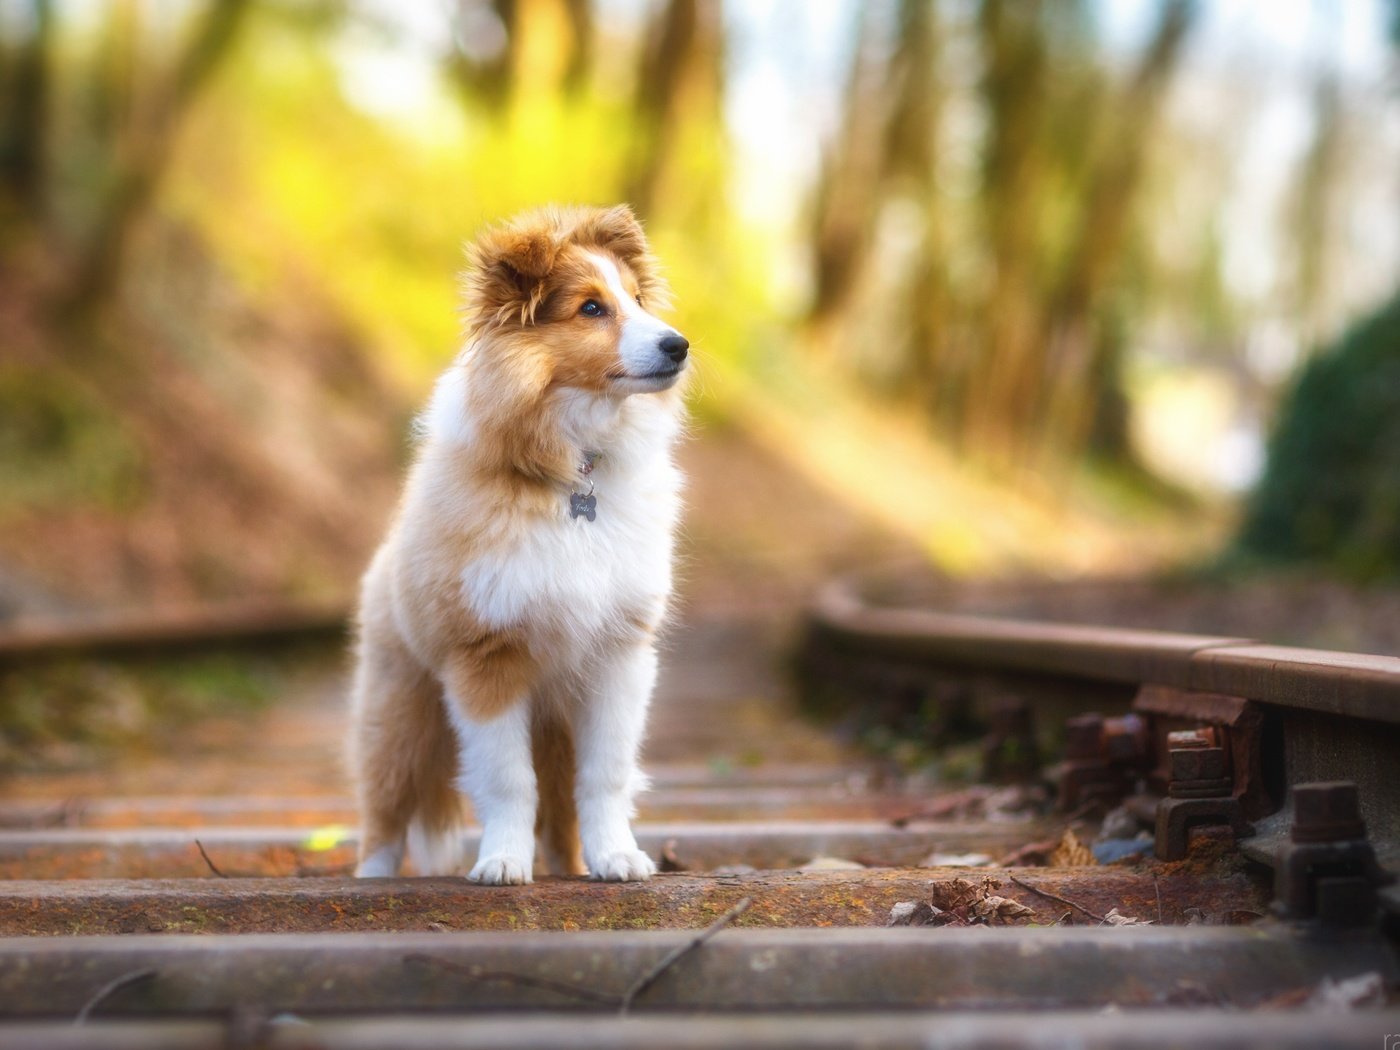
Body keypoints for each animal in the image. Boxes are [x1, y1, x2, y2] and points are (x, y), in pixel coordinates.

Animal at [350, 201, 688, 884]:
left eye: (638, 299)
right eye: (591, 308)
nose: (680, 345)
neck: (574, 477)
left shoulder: (618, 659)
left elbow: (606, 776)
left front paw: (619, 856)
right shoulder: (487, 658)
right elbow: (507, 781)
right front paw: (502, 861)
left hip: (553, 731)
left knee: (561, 818)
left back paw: (579, 865)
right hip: (400, 715)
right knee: (383, 811)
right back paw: (372, 878)